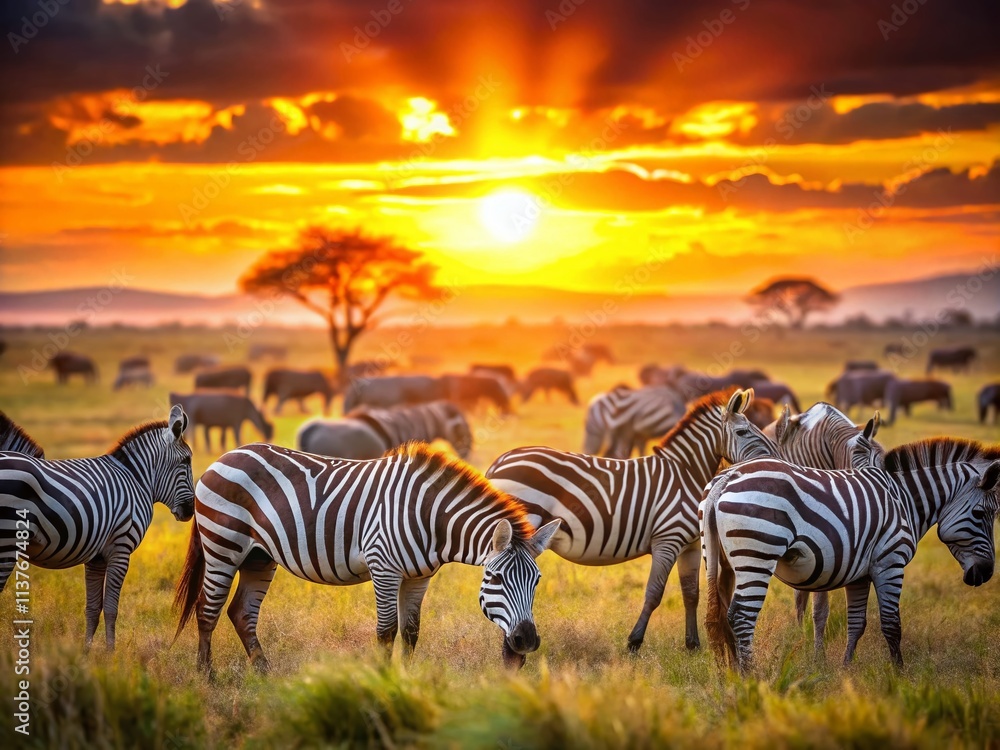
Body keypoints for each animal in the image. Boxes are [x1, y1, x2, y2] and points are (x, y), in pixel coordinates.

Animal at [0, 406, 194, 650]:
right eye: (186, 461)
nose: (190, 510)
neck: (137, 480)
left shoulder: (97, 557)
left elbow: (93, 608)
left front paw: (86, 652)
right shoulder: (121, 548)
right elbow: (111, 608)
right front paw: (112, 654)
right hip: (7, 541)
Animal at [173, 441, 560, 673]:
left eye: (537, 581)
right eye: (495, 578)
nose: (526, 642)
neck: (430, 517)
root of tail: (227, 455)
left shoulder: (419, 577)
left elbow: (411, 631)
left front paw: (407, 679)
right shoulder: (383, 567)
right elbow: (386, 631)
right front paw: (383, 681)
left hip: (258, 556)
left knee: (242, 612)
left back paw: (264, 672)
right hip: (223, 544)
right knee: (208, 609)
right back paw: (206, 677)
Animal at [486, 388, 775, 652]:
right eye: (743, 432)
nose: (772, 458)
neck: (686, 473)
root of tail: (500, 460)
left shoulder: (690, 545)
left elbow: (691, 594)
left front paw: (692, 645)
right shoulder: (667, 540)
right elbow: (654, 593)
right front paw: (634, 642)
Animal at [700, 438, 999, 673]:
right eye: (981, 514)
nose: (986, 573)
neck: (904, 499)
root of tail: (727, 477)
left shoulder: (860, 574)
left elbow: (856, 623)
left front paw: (846, 670)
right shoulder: (890, 562)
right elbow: (892, 624)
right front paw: (899, 676)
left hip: (719, 560)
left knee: (719, 616)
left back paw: (729, 675)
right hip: (757, 553)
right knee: (741, 615)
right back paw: (751, 676)